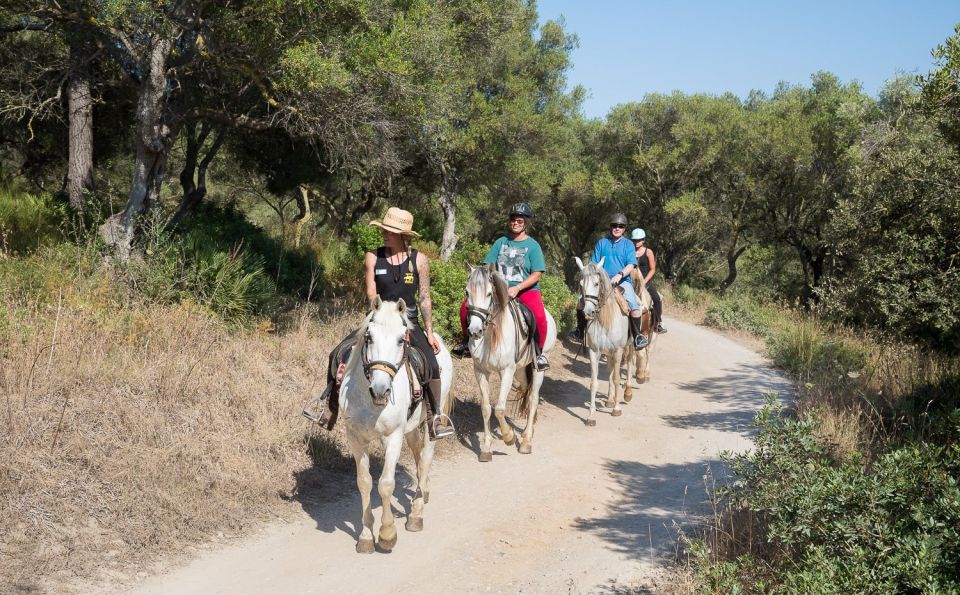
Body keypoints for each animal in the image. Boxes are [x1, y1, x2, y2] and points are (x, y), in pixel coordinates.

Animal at [342, 296, 454, 556]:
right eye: (369, 337)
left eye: (401, 340)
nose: (380, 390)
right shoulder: (355, 438)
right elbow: (364, 483)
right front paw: (365, 537)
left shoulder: (393, 436)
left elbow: (385, 484)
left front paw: (387, 535)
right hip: (410, 428)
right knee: (417, 452)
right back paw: (424, 490)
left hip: (432, 420)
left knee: (426, 456)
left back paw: (416, 514)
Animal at [464, 264, 556, 460]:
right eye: (467, 292)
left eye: (489, 293)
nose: (475, 331)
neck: (490, 336)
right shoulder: (480, 370)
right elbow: (486, 408)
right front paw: (486, 448)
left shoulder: (506, 371)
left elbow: (499, 408)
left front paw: (508, 437)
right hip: (521, 370)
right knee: (525, 390)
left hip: (537, 368)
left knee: (534, 398)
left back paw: (526, 440)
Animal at [568, 258, 636, 426]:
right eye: (581, 284)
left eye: (596, 283)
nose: (588, 312)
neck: (605, 320)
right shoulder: (595, 352)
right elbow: (594, 382)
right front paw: (591, 416)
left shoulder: (618, 351)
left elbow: (617, 379)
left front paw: (617, 409)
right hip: (608, 353)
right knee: (610, 370)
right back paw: (610, 400)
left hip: (629, 346)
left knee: (628, 365)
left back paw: (627, 393)